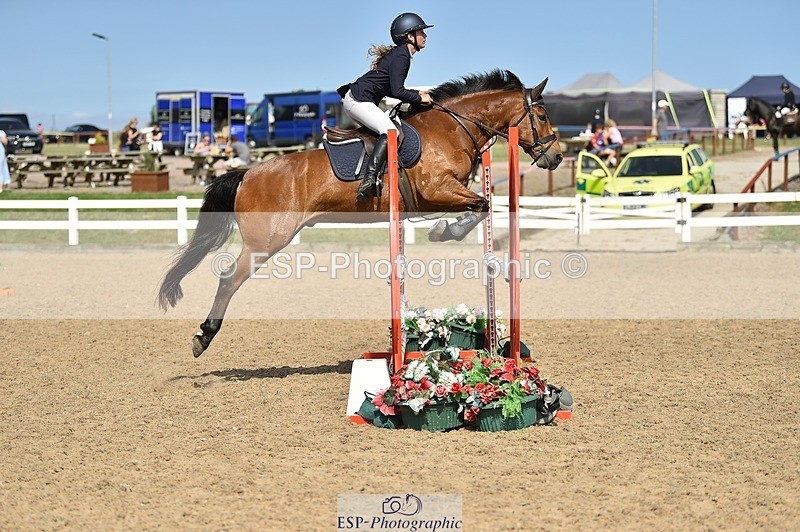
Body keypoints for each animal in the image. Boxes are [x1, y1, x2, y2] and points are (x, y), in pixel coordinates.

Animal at [157, 69, 563, 357]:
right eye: (542, 115)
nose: (556, 157)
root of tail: (248, 173)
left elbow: (481, 206)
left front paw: (446, 232)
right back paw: (204, 336)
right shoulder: (436, 191)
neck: (452, 127)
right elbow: (481, 205)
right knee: (228, 279)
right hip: (266, 241)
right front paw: (444, 232)